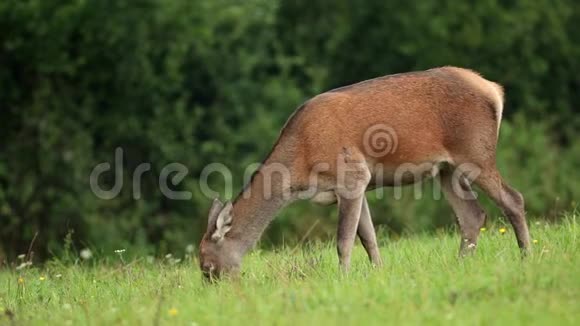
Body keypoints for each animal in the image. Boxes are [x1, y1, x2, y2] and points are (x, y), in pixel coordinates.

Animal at [198, 67, 532, 280]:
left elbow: (343, 240)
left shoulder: (351, 174)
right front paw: (377, 273)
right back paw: (460, 265)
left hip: (476, 152)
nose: (214, 288)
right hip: (446, 169)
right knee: (472, 215)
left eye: (206, 264)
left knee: (513, 198)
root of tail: (494, 91)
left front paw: (343, 279)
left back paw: (526, 257)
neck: (301, 168)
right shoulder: (354, 187)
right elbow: (368, 237)